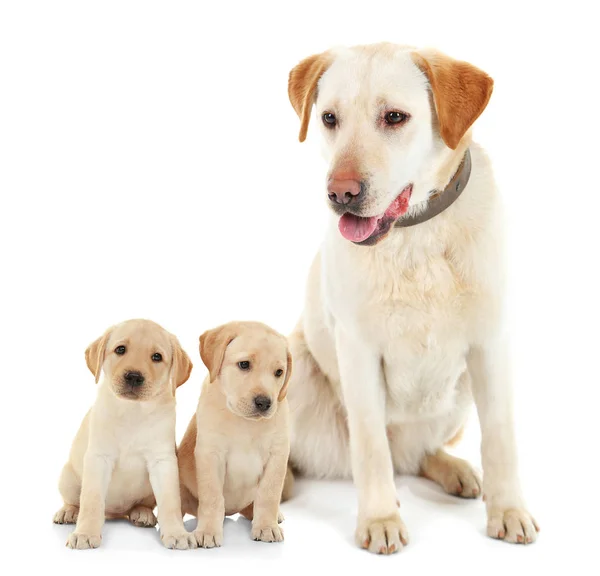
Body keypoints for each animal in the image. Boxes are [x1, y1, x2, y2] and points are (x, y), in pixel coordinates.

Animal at [52, 320, 196, 548]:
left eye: (157, 357)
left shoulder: (163, 462)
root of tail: (116, 513)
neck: (133, 411)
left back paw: (142, 513)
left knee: (141, 505)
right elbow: (91, 501)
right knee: (76, 501)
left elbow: (170, 501)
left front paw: (177, 533)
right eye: (120, 350)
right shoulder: (98, 458)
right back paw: (68, 511)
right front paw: (85, 533)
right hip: (68, 477)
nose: (134, 377)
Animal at [177, 322, 292, 548]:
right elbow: (212, 497)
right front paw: (208, 531)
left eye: (279, 372)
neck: (244, 423)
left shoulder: (278, 455)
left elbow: (269, 494)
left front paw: (266, 526)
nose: (264, 403)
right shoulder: (210, 455)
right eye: (244, 364)